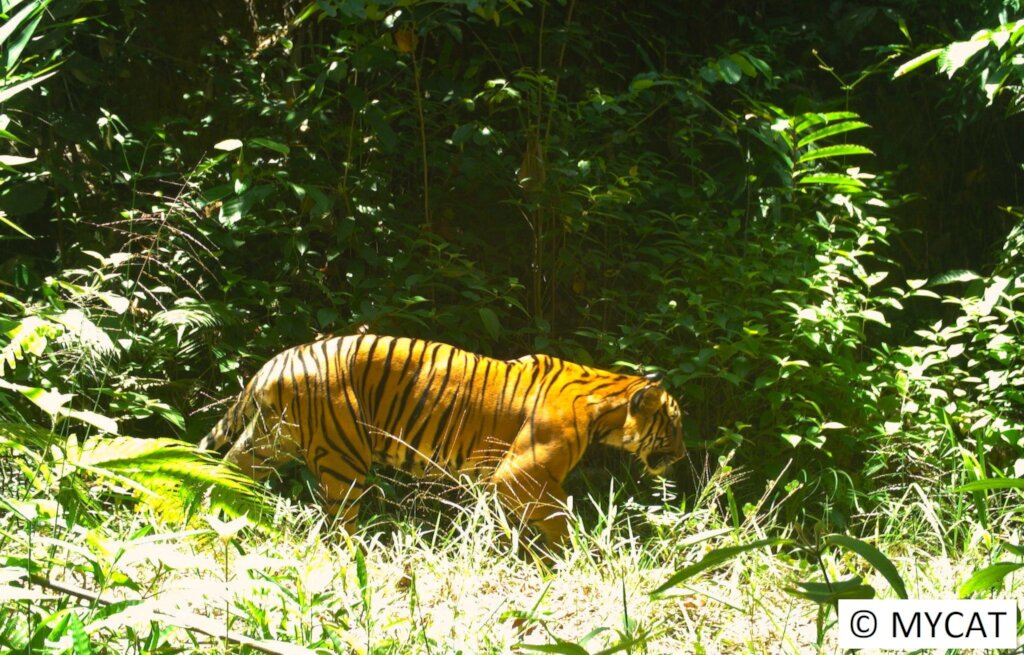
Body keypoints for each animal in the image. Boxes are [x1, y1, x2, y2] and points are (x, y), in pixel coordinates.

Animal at [197, 331, 688, 540]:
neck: (605, 406)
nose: (683, 456)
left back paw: (206, 525)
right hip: (343, 461)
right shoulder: (520, 475)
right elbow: (560, 519)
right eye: (675, 425)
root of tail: (277, 361)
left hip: (266, 443)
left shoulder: (505, 483)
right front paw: (567, 562)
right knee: (340, 526)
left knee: (222, 478)